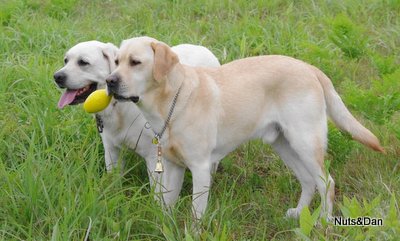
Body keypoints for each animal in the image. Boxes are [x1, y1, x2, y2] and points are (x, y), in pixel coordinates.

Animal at [53, 40, 220, 188]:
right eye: (66, 60)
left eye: (83, 62)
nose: (57, 76)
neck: (118, 107)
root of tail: (203, 48)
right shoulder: (111, 150)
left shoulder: (154, 156)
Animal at [106, 36, 384, 219]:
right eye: (116, 61)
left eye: (135, 62)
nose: (109, 81)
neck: (173, 99)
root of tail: (310, 68)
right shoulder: (173, 166)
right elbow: (166, 206)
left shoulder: (200, 168)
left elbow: (196, 214)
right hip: (284, 144)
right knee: (308, 181)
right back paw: (298, 214)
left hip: (305, 143)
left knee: (327, 183)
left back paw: (323, 223)